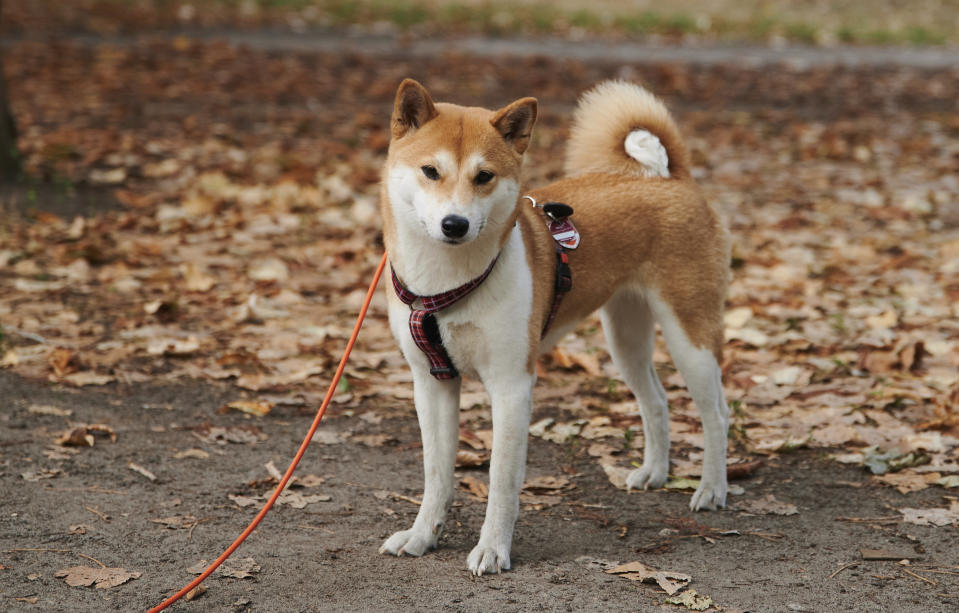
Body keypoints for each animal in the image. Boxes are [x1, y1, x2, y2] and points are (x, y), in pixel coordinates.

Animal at [378, 77, 732, 572]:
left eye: (484, 176)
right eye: (430, 171)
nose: (455, 224)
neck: (447, 283)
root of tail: (670, 179)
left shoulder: (511, 386)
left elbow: (502, 479)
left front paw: (493, 549)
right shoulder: (432, 383)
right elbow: (436, 474)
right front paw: (422, 535)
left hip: (689, 337)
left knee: (716, 413)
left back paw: (712, 489)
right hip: (625, 340)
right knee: (657, 402)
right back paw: (655, 473)